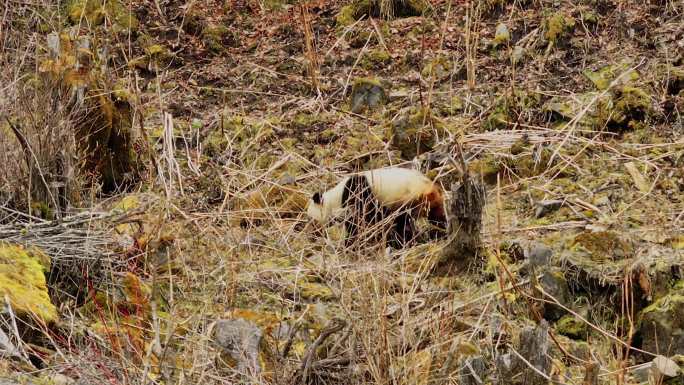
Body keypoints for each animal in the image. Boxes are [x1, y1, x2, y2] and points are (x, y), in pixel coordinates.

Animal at [306, 166, 448, 248]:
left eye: (312, 220)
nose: (312, 234)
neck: (335, 198)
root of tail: (431, 188)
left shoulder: (359, 193)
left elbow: (365, 219)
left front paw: (350, 242)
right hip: (428, 203)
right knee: (436, 217)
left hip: (411, 198)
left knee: (402, 222)